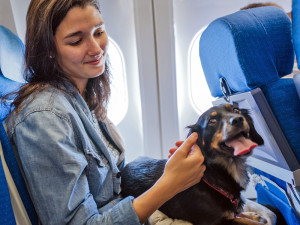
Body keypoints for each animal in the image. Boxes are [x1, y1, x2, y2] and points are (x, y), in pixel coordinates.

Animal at [120, 104, 268, 225]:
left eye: (236, 110)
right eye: (212, 121)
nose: (238, 119)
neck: (213, 178)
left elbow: (238, 215)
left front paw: (253, 216)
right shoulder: (213, 222)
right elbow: (241, 221)